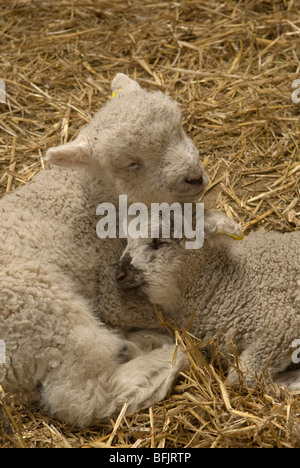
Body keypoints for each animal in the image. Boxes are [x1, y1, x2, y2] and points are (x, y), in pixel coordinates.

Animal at [0, 73, 213, 428]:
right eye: (132, 164)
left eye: (179, 129)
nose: (194, 178)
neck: (91, 193)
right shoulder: (111, 281)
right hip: (43, 311)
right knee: (81, 396)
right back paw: (164, 357)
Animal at [115, 214, 300, 390]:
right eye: (128, 240)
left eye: (159, 241)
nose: (119, 274)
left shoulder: (280, 327)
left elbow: (240, 378)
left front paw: (285, 383)